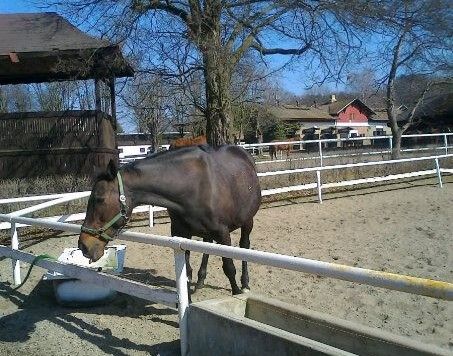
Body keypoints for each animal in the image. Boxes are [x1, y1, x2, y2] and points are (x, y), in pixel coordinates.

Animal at [79, 145, 260, 294]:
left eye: (99, 199)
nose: (83, 245)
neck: (193, 186)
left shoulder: (223, 233)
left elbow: (229, 267)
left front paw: (237, 292)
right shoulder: (181, 234)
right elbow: (186, 273)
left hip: (247, 222)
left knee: (244, 246)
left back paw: (245, 283)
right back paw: (201, 281)